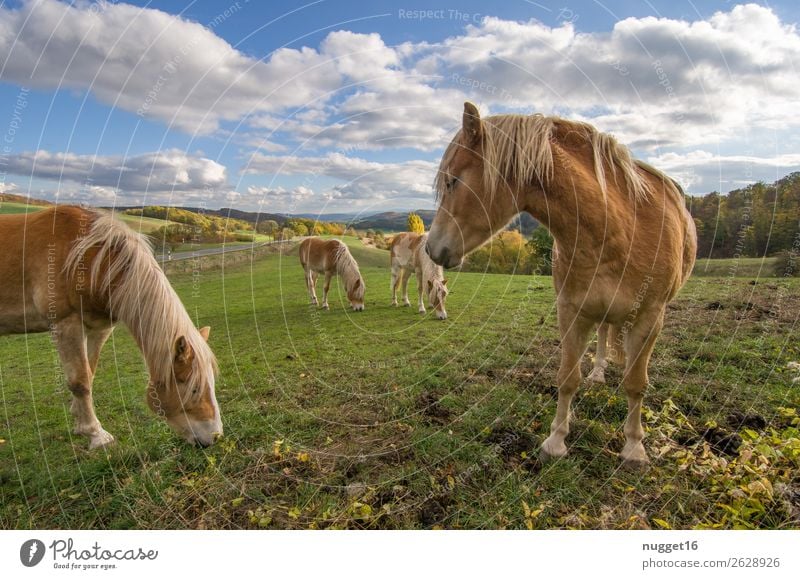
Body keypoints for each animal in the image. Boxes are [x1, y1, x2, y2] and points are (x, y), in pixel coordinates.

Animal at [0, 206, 222, 450]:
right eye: (194, 388)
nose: (215, 437)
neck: (86, 258)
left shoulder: (98, 328)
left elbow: (89, 373)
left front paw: (80, 423)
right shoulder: (66, 325)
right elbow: (80, 382)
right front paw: (96, 434)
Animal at [428, 103, 696, 466]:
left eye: (453, 180)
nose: (431, 248)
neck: (618, 230)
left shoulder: (650, 317)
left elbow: (636, 383)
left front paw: (634, 447)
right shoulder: (571, 310)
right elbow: (568, 378)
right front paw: (555, 441)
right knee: (603, 335)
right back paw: (598, 373)